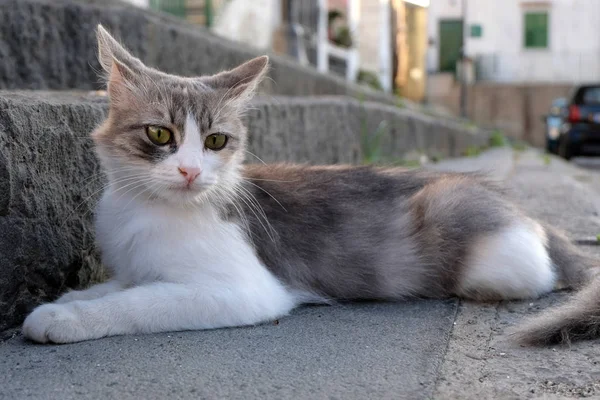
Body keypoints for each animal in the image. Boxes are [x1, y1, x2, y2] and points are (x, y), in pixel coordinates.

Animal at [21, 25, 600, 344]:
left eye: (215, 141)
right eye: (160, 134)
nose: (190, 171)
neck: (146, 211)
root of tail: (526, 213)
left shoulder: (242, 289)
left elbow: (137, 304)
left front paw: (67, 319)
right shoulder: (136, 266)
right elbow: (114, 287)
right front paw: (62, 303)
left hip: (481, 247)